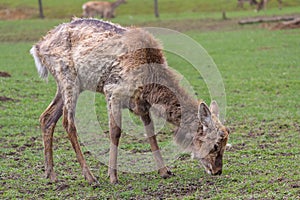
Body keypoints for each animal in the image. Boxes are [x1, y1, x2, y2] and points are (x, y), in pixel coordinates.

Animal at [30, 18, 231, 184]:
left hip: (68, 85)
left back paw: (51, 175)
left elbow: (150, 133)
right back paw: (90, 177)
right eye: (215, 145)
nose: (217, 171)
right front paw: (113, 176)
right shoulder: (112, 91)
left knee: (47, 117)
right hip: (67, 77)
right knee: (68, 122)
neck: (150, 84)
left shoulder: (141, 103)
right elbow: (115, 132)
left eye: (225, 144)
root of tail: (38, 47)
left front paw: (165, 171)